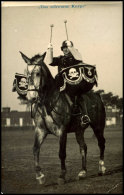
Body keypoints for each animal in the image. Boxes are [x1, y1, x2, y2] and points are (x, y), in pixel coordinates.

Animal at [19, 51, 106, 184]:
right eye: (26, 74)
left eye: (38, 73)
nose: (31, 97)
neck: (47, 104)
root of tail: (97, 96)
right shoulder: (40, 130)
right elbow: (35, 149)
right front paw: (40, 175)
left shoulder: (62, 131)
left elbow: (62, 153)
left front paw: (62, 176)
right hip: (79, 130)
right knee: (83, 147)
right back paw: (82, 172)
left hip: (98, 127)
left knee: (101, 143)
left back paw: (101, 168)